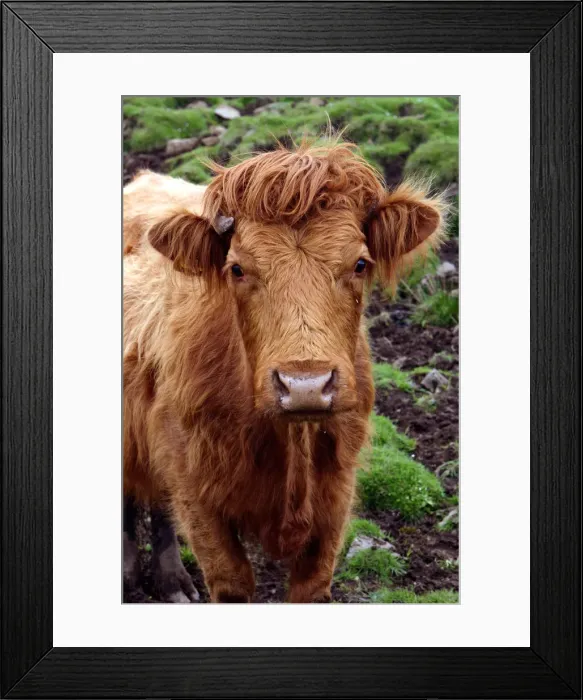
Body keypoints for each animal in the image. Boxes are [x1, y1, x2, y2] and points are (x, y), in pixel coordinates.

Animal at [123, 141, 444, 603]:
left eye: (360, 264)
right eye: (237, 268)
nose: (305, 386)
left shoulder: (335, 500)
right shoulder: (196, 493)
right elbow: (232, 582)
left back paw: (170, 582)